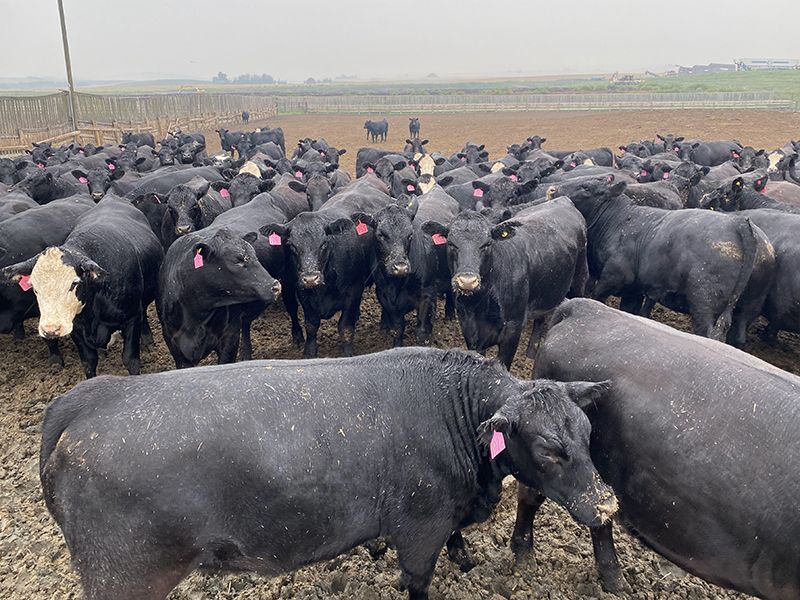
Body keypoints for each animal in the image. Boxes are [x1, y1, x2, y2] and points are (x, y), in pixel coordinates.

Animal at [1, 198, 163, 378]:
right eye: (34, 287)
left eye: (74, 283)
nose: (50, 329)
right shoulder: (77, 330)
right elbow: (88, 362)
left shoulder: (132, 318)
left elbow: (130, 360)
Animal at [40, 346, 616, 600]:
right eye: (549, 449)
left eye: (589, 432)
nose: (607, 504)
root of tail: (92, 397)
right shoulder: (420, 526)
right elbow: (418, 580)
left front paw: (467, 558)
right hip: (122, 576)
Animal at [421, 197, 588, 368]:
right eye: (451, 243)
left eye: (487, 244)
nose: (467, 281)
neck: (480, 304)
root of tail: (562, 200)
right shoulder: (468, 326)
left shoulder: (513, 328)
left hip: (579, 278)